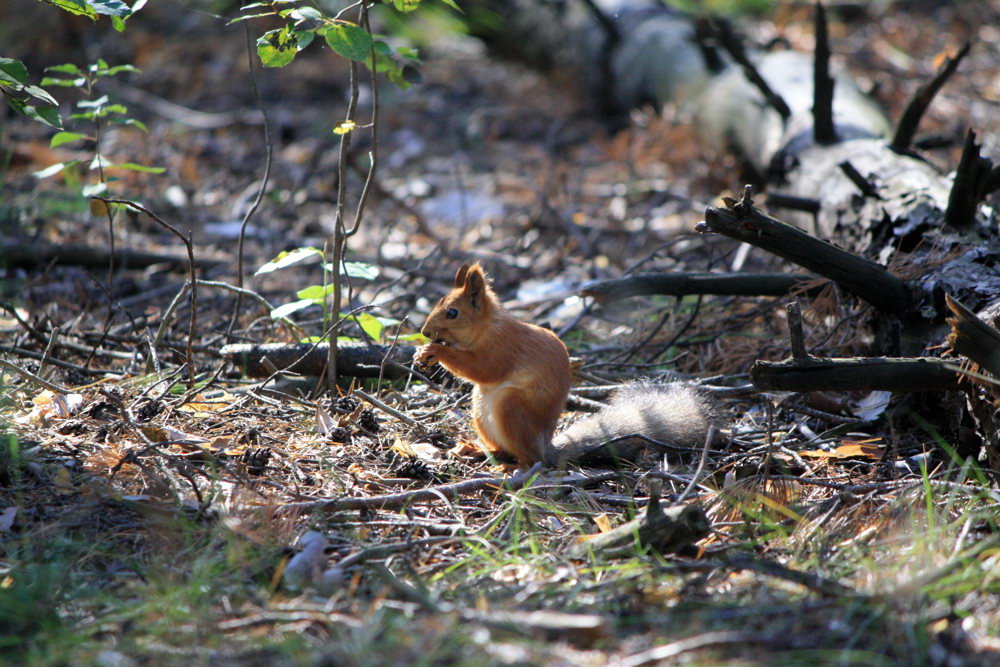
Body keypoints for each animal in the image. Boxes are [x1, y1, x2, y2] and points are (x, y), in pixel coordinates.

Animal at [416, 264, 720, 468]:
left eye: (452, 313)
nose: (425, 333)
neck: (486, 327)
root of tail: (546, 448)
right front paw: (422, 353)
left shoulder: (503, 347)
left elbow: (483, 369)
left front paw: (436, 351)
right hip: (481, 407)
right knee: (502, 448)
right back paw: (475, 449)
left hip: (511, 406)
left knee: (530, 460)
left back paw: (511, 467)